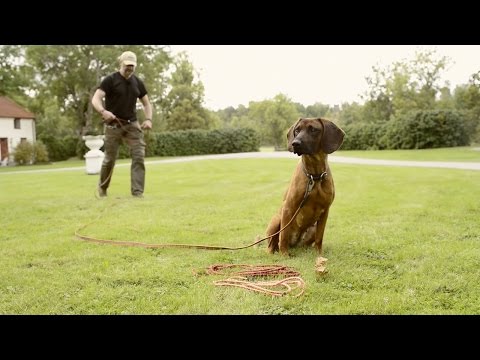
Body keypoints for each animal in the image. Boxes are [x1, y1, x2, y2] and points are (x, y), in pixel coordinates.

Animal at [266, 118, 344, 256]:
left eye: (313, 129)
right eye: (297, 130)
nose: (295, 143)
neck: (314, 176)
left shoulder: (325, 211)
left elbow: (319, 237)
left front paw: (319, 254)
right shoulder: (288, 208)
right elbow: (283, 235)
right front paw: (284, 255)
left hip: (312, 229)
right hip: (276, 219)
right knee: (273, 243)